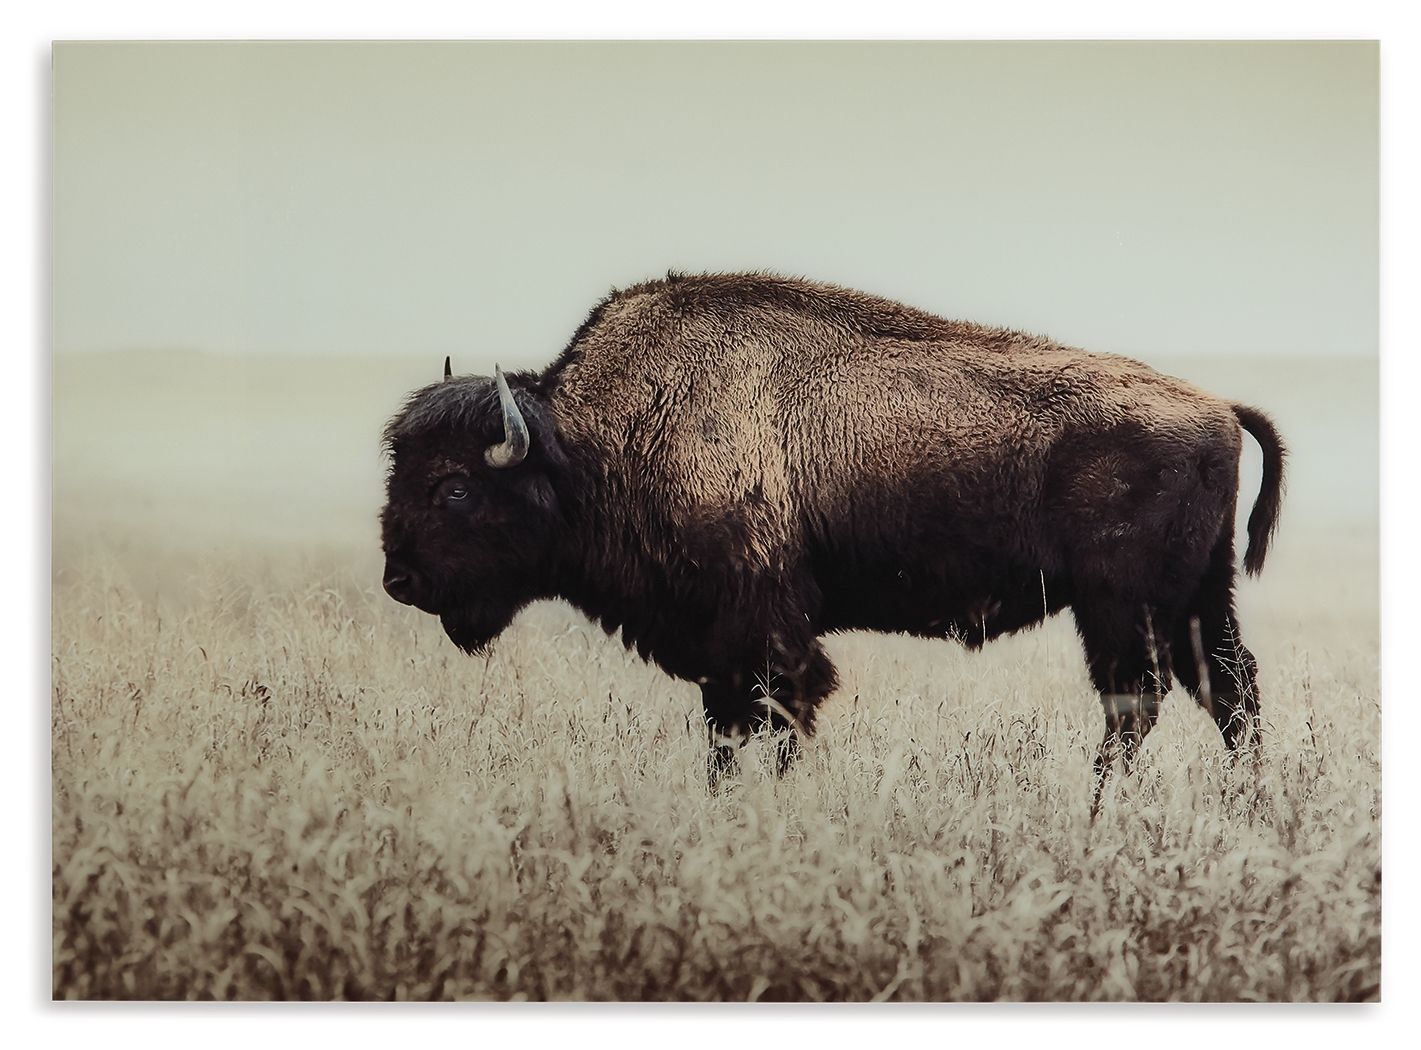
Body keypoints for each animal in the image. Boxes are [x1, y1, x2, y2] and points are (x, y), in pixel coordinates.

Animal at [380, 272, 1284, 783]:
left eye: (455, 488)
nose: (399, 580)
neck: (591, 443)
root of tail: (1215, 406)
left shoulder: (765, 631)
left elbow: (777, 716)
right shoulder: (722, 648)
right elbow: (728, 731)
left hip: (1120, 606)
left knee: (1136, 701)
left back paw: (1098, 809)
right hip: (1196, 599)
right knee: (1227, 692)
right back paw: (1244, 806)